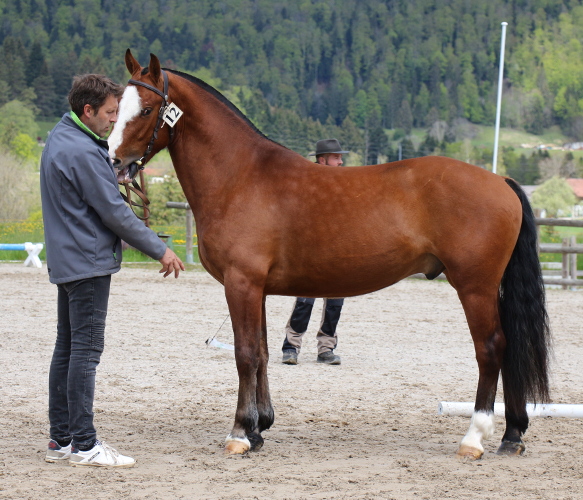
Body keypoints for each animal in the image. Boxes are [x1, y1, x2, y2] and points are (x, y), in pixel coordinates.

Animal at [109, 51, 552, 460]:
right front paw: (259, 428)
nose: (113, 160)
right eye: (117, 107)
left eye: (146, 109)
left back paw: (474, 438)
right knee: (510, 348)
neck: (241, 176)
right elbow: (263, 352)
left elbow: (245, 354)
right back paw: (512, 435)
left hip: (475, 287)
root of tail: (501, 181)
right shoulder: (259, 290)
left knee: (492, 348)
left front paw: (239, 433)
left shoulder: (241, 283)